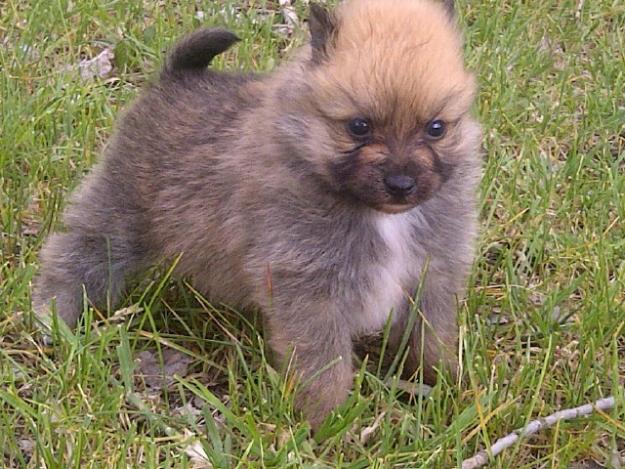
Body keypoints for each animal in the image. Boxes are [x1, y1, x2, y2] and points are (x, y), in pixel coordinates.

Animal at [33, 0, 482, 428]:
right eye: (359, 127)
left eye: (436, 128)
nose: (401, 183)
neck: (380, 215)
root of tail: (176, 77)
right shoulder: (309, 290)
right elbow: (323, 368)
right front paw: (329, 424)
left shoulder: (430, 274)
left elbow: (431, 337)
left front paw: (443, 385)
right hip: (121, 212)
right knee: (77, 254)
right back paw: (53, 316)